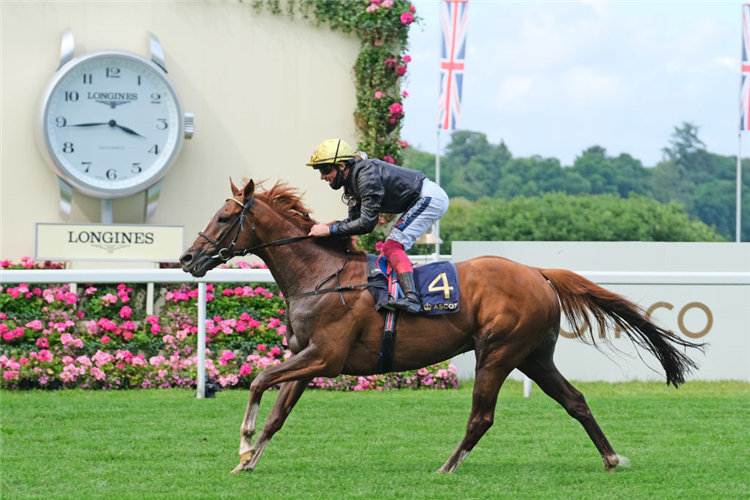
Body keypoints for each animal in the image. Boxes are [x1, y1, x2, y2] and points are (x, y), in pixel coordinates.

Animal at [181, 179, 704, 472]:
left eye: (225, 217)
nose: (188, 259)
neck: (321, 276)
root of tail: (537, 272)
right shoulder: (305, 358)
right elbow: (278, 411)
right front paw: (249, 461)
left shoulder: (325, 358)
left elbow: (257, 381)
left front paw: (242, 444)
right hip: (534, 355)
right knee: (575, 401)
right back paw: (612, 459)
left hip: (498, 351)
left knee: (482, 416)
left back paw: (447, 466)